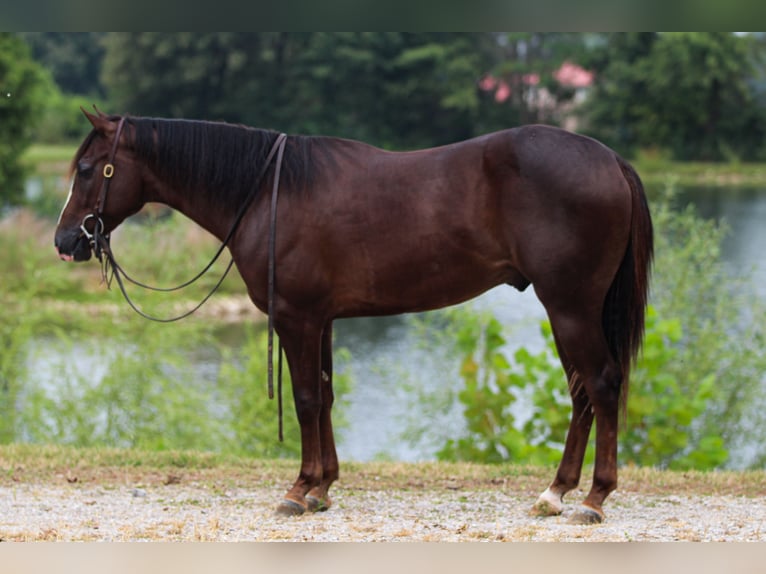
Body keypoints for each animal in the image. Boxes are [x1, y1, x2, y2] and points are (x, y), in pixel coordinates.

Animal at [55, 109, 652, 524]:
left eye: (86, 169)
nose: (65, 241)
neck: (268, 194)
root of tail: (609, 160)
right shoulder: (320, 320)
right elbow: (324, 395)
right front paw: (323, 488)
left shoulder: (296, 319)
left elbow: (304, 399)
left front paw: (299, 490)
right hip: (568, 310)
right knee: (582, 393)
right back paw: (555, 492)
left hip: (570, 306)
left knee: (601, 384)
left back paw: (594, 498)